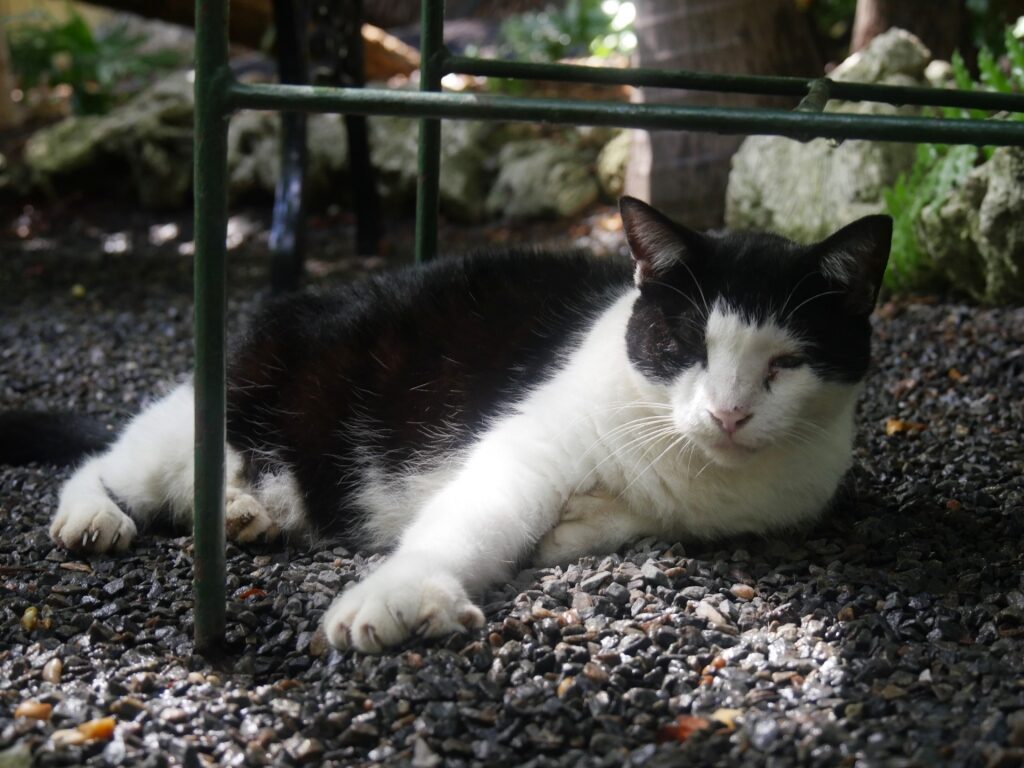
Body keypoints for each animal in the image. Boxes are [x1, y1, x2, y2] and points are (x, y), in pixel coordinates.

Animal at [32, 198, 892, 655]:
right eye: (686, 345)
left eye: (787, 363)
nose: (727, 413)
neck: (701, 474)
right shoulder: (521, 449)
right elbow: (471, 522)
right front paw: (399, 596)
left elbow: (618, 517)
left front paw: (573, 528)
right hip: (216, 414)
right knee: (110, 458)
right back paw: (94, 517)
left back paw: (247, 512)